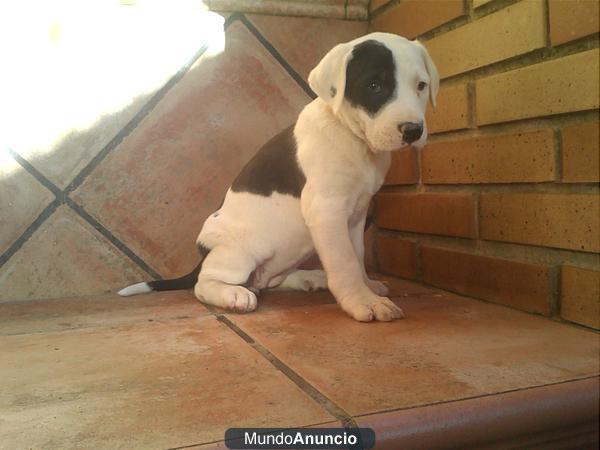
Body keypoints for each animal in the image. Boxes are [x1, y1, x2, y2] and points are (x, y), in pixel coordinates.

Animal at [119, 31, 438, 322]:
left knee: (271, 281)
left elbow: (357, 255)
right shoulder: (327, 210)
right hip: (239, 252)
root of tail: (203, 253)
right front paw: (362, 301)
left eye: (421, 86)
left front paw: (367, 286)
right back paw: (234, 294)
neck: (353, 138)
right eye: (374, 85)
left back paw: (311, 278)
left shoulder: (356, 215)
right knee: (204, 284)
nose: (413, 130)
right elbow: (345, 261)